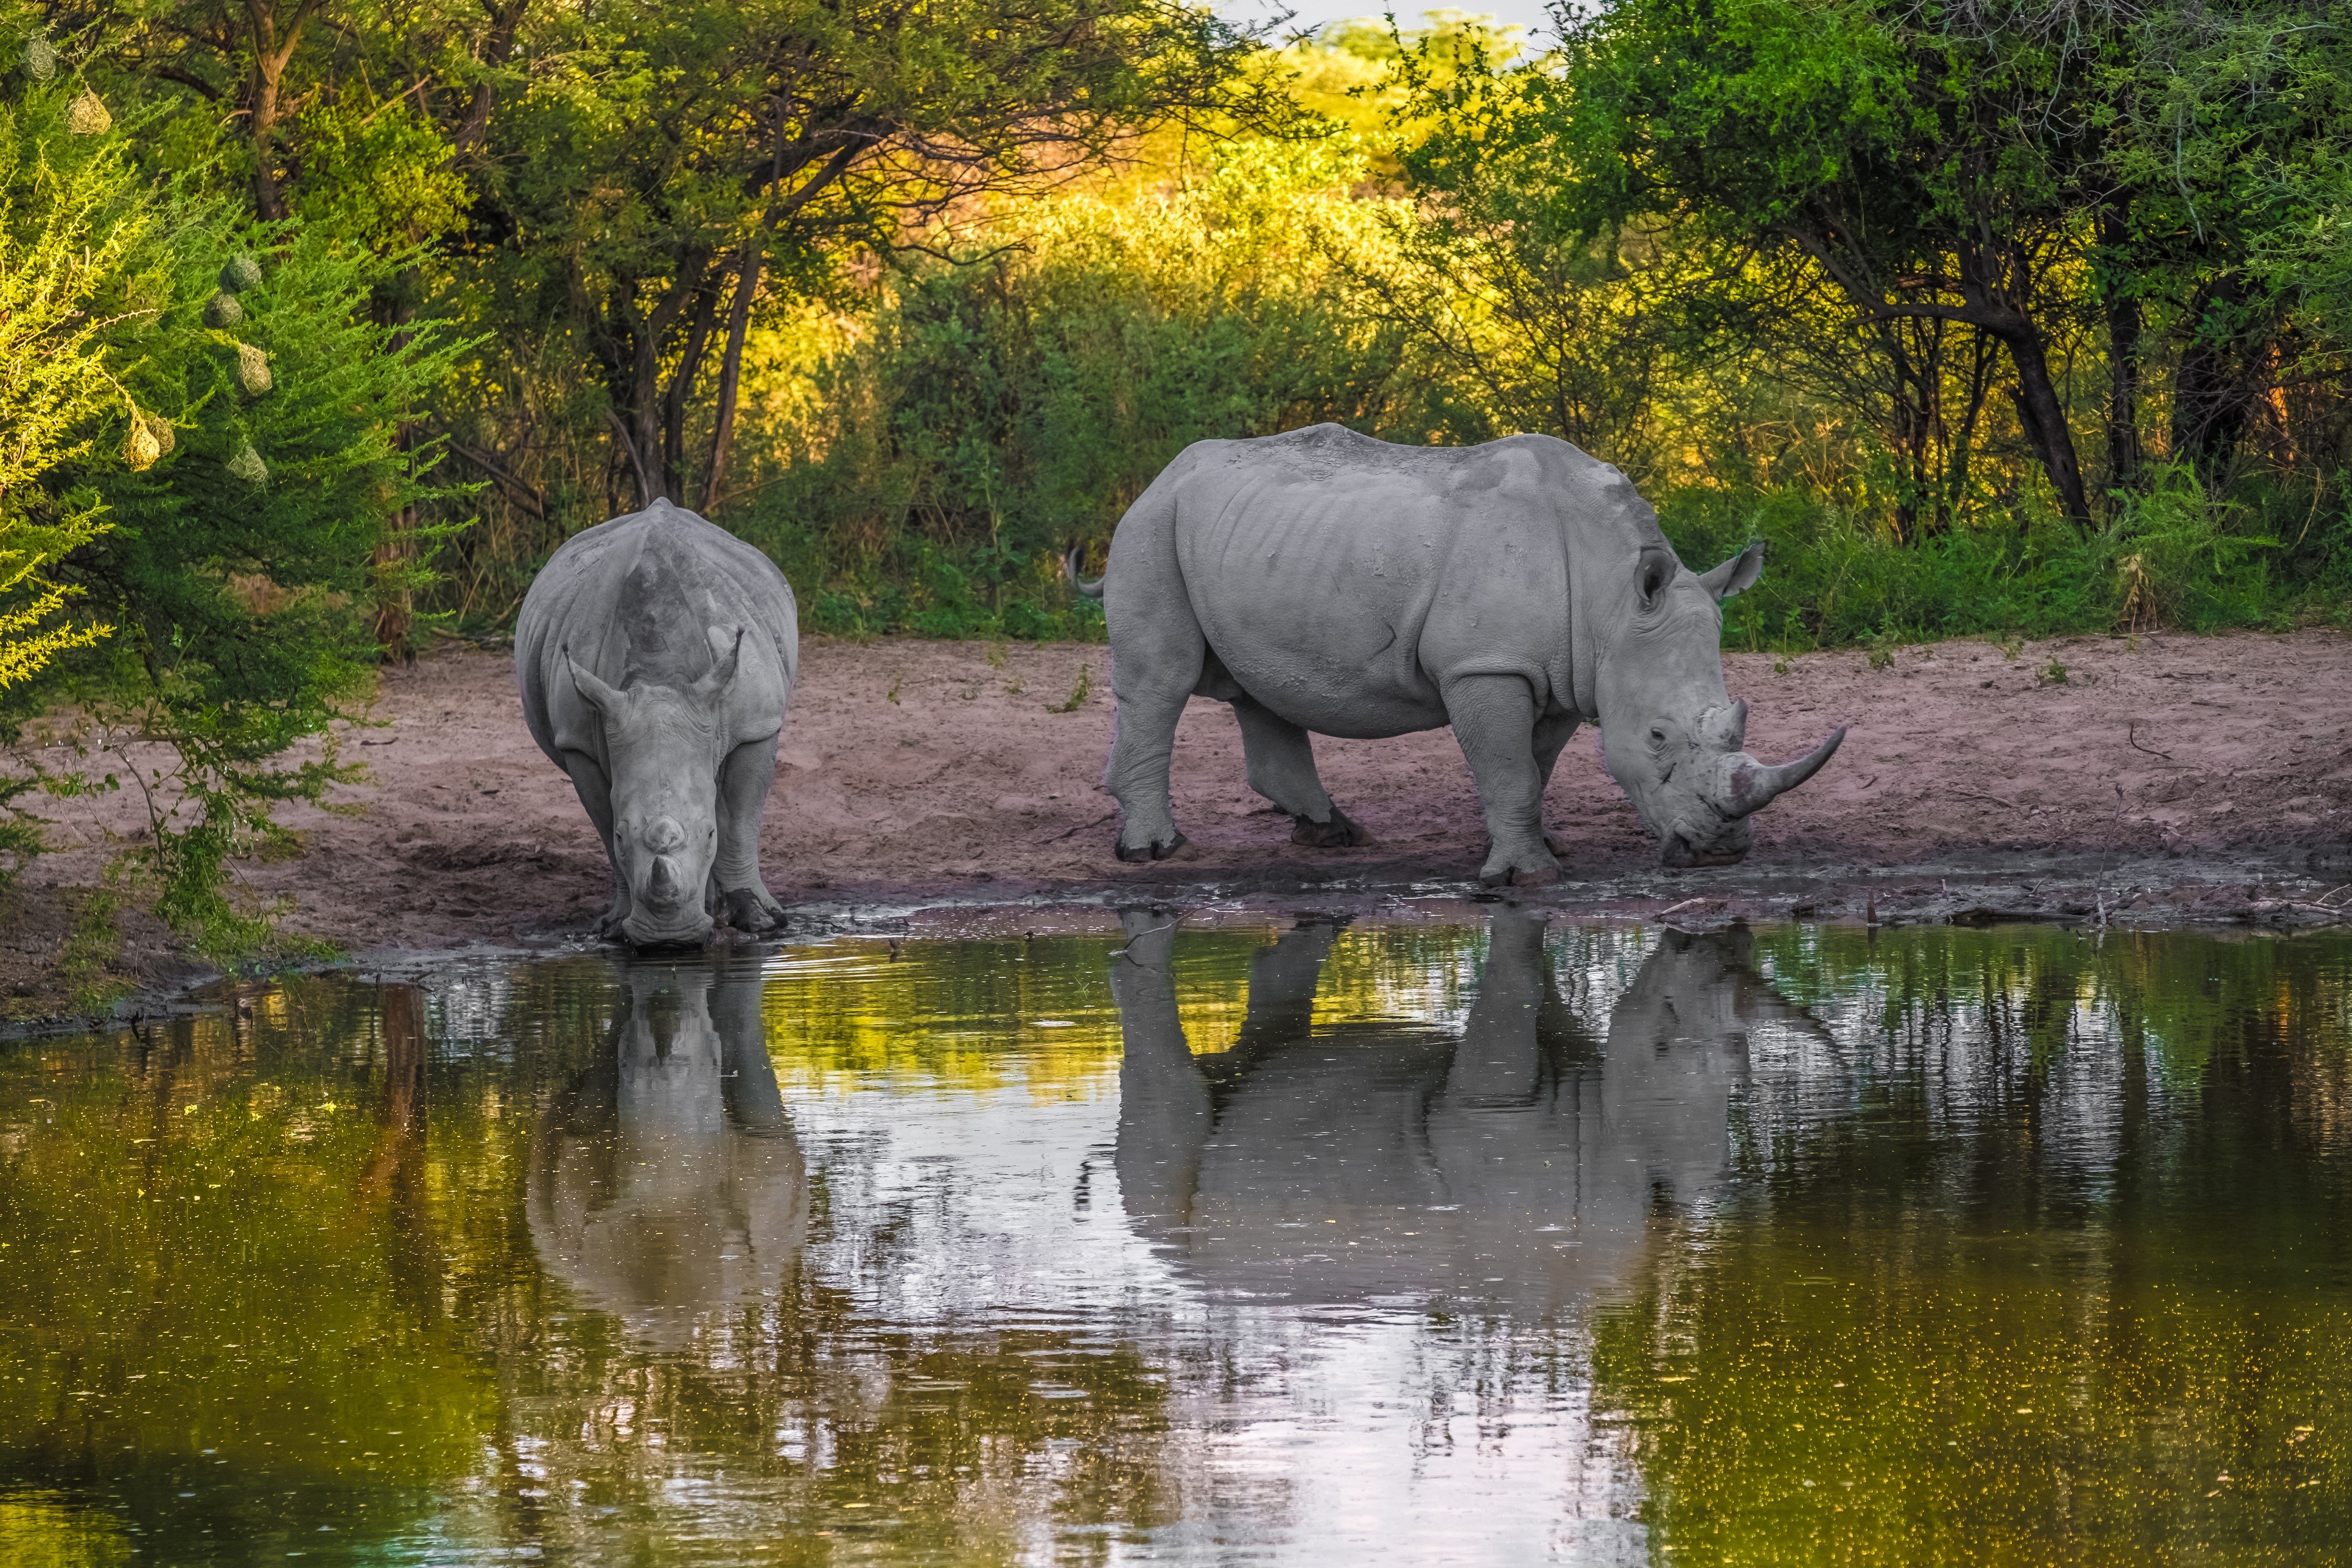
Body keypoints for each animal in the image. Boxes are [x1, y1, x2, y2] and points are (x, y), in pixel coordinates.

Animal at [517, 498, 798, 944]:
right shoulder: (578, 740)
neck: (659, 679)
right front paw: (615, 926)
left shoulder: (756, 725)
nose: (670, 939)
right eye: (623, 836)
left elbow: (738, 822)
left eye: (708, 834)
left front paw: (760, 921)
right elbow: (604, 823)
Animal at [1071, 425, 1844, 882]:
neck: (1611, 596)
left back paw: (1333, 835)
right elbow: (1510, 767)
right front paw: (1526, 875)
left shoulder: (1564, 671)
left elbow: (1533, 765)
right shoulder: (1488, 663)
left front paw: (1535, 848)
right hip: (1151, 530)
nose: (1721, 851)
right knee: (1162, 683)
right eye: (1658, 735)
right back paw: (1154, 852)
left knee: (1261, 688)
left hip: (1244, 538)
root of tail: (1161, 475)